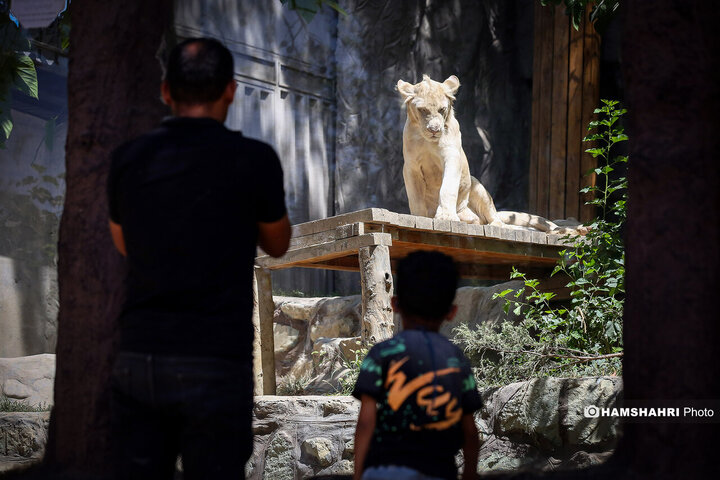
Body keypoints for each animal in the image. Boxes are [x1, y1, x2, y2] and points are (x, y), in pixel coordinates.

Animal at [396, 73, 588, 234]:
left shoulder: (452, 157)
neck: (426, 140)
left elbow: (448, 187)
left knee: (498, 220)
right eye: (423, 110)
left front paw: (446, 216)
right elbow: (415, 196)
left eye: (442, 110)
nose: (434, 130)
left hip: (477, 186)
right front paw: (420, 217)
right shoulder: (411, 167)